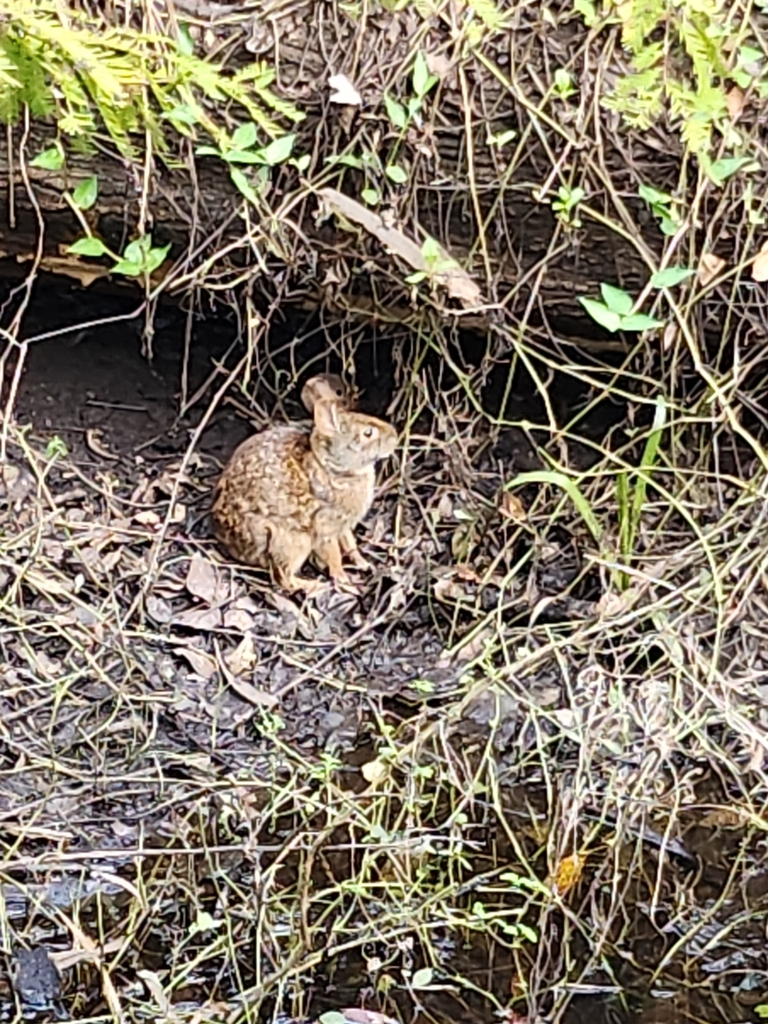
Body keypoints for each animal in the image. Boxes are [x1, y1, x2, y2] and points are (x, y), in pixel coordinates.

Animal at [212, 396, 397, 594]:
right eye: (368, 433)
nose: (394, 436)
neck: (334, 468)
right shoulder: (325, 525)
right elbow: (334, 555)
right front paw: (344, 581)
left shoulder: (342, 526)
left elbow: (350, 544)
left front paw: (364, 564)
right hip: (294, 541)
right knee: (284, 578)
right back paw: (315, 585)